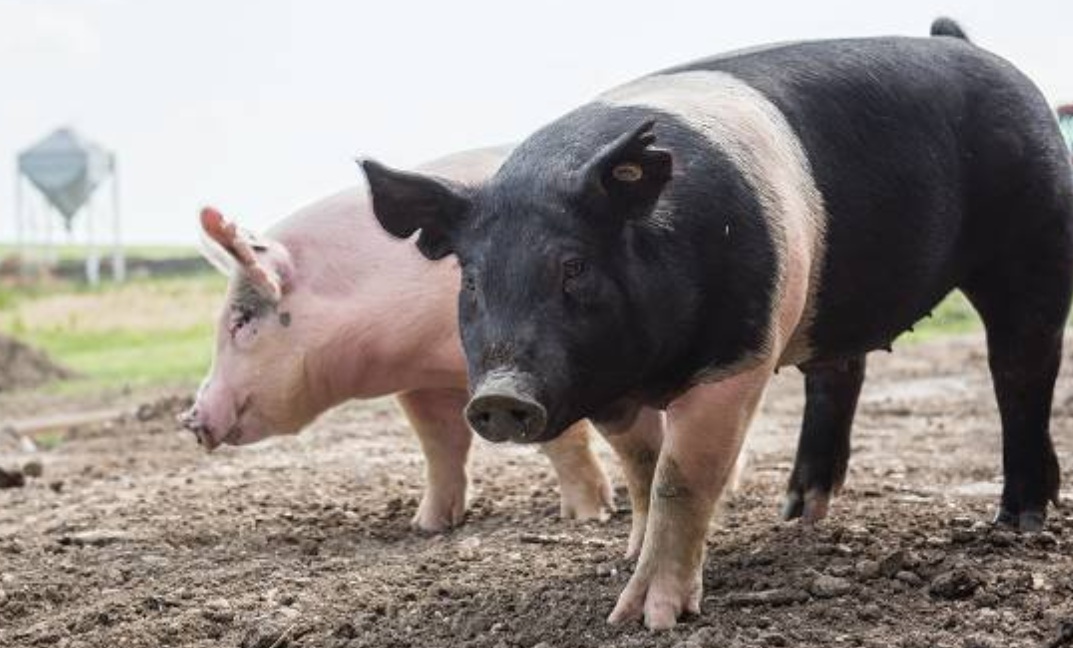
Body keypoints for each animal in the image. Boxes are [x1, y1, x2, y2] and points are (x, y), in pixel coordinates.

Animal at [180, 146, 665, 538]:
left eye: (241, 321)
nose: (189, 417)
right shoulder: (421, 383)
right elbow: (439, 445)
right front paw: (426, 526)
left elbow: (561, 439)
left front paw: (587, 517)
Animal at [362, 20, 1073, 628]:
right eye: (471, 280)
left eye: (574, 266)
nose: (501, 396)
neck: (650, 372)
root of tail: (968, 45)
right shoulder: (605, 387)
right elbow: (643, 465)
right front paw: (629, 552)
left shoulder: (740, 356)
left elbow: (683, 474)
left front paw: (644, 617)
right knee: (839, 376)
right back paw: (798, 517)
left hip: (1034, 238)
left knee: (1020, 372)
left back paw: (1018, 522)